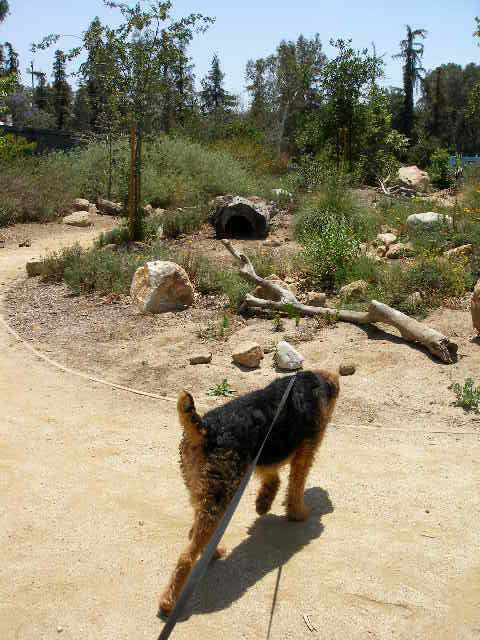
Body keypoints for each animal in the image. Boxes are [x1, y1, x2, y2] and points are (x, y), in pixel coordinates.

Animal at [159, 370, 340, 616]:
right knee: (187, 554)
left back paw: (214, 551)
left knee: (195, 533)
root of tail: (206, 430)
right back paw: (168, 602)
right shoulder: (306, 451)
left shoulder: (262, 456)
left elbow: (273, 478)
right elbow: (296, 485)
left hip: (201, 489)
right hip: (220, 495)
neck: (313, 382)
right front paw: (298, 513)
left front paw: (263, 503)